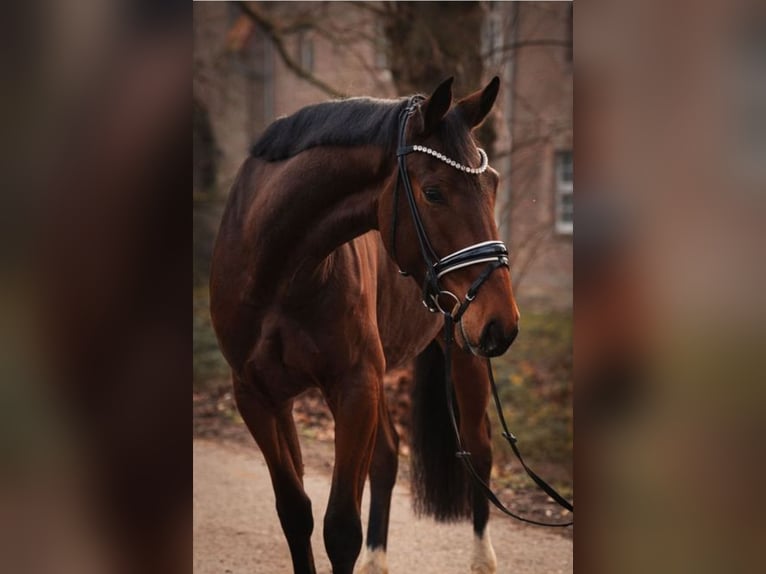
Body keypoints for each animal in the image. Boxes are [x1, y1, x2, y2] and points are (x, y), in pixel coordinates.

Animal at [209, 76, 520, 574]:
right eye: (433, 192)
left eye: (492, 184)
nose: (501, 321)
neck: (280, 273)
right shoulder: (259, 397)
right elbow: (295, 512)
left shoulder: (355, 386)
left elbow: (340, 530)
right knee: (389, 455)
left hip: (461, 358)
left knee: (479, 447)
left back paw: (481, 559)